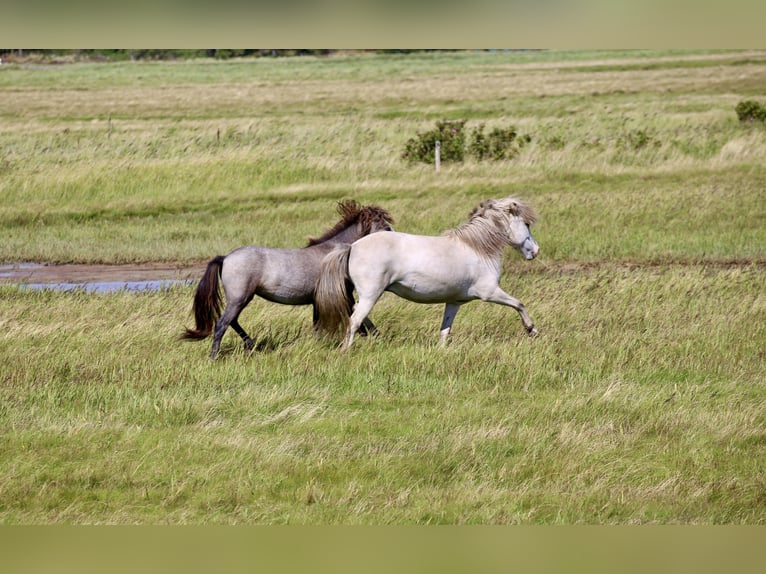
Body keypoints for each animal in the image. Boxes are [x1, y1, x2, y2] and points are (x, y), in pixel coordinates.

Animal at [182, 200, 392, 358]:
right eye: (385, 226)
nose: (394, 235)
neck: (336, 254)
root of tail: (225, 258)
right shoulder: (342, 294)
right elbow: (361, 317)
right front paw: (377, 337)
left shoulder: (318, 300)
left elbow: (318, 325)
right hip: (239, 298)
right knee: (222, 324)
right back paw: (214, 356)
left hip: (240, 299)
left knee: (231, 321)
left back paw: (251, 344)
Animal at [316, 197, 544, 352]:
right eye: (526, 224)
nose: (535, 251)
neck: (477, 249)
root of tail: (352, 247)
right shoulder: (490, 292)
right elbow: (519, 304)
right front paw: (532, 330)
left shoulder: (454, 301)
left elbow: (445, 330)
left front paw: (441, 351)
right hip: (371, 295)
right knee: (354, 319)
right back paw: (346, 350)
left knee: (357, 314)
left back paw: (375, 335)